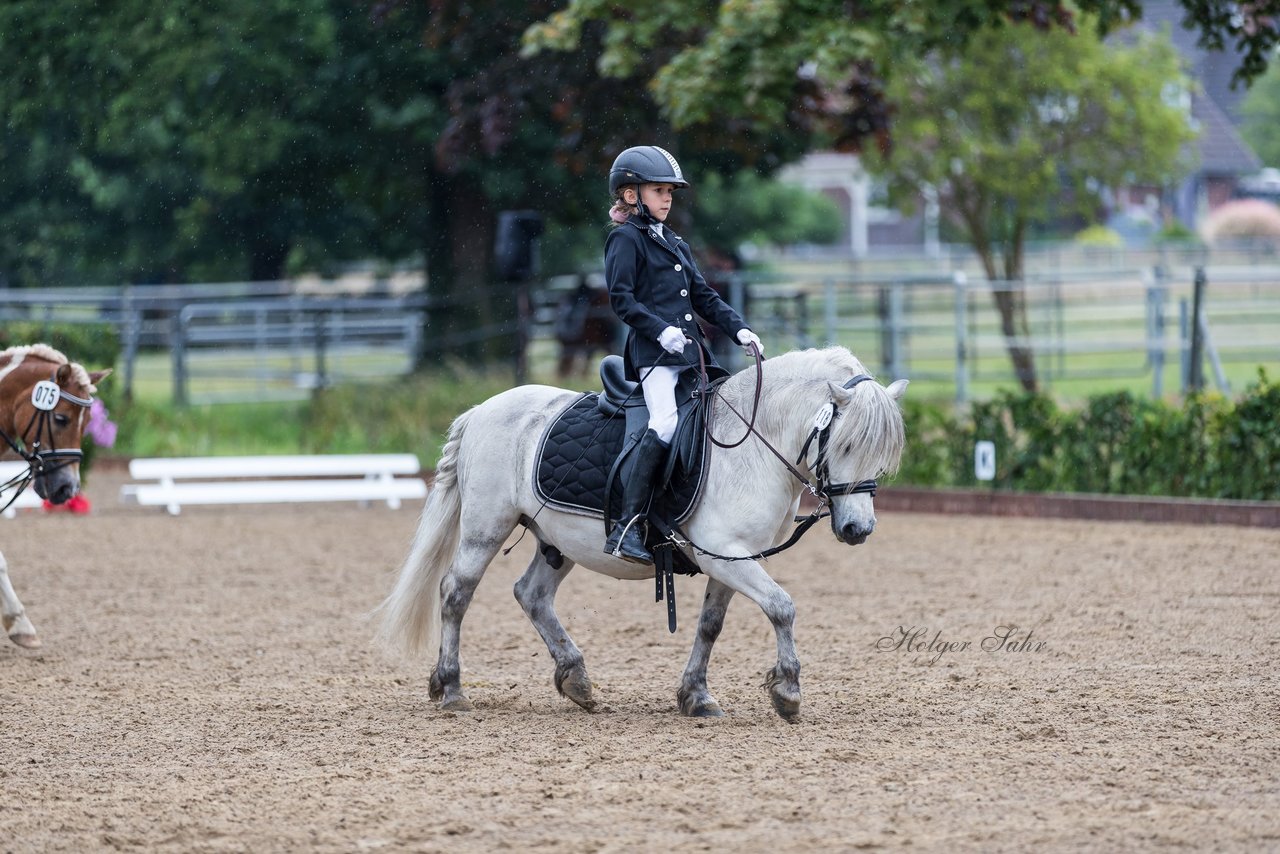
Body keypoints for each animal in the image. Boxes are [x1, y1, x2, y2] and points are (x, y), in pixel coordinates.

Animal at [373, 348, 906, 722]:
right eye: (845, 444)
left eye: (882, 453)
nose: (858, 529)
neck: (751, 443)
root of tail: (483, 409)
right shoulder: (724, 555)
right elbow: (782, 607)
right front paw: (788, 692)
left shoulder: (734, 559)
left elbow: (711, 626)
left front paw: (696, 696)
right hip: (486, 528)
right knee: (455, 594)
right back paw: (452, 689)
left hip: (559, 541)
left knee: (531, 594)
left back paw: (576, 680)